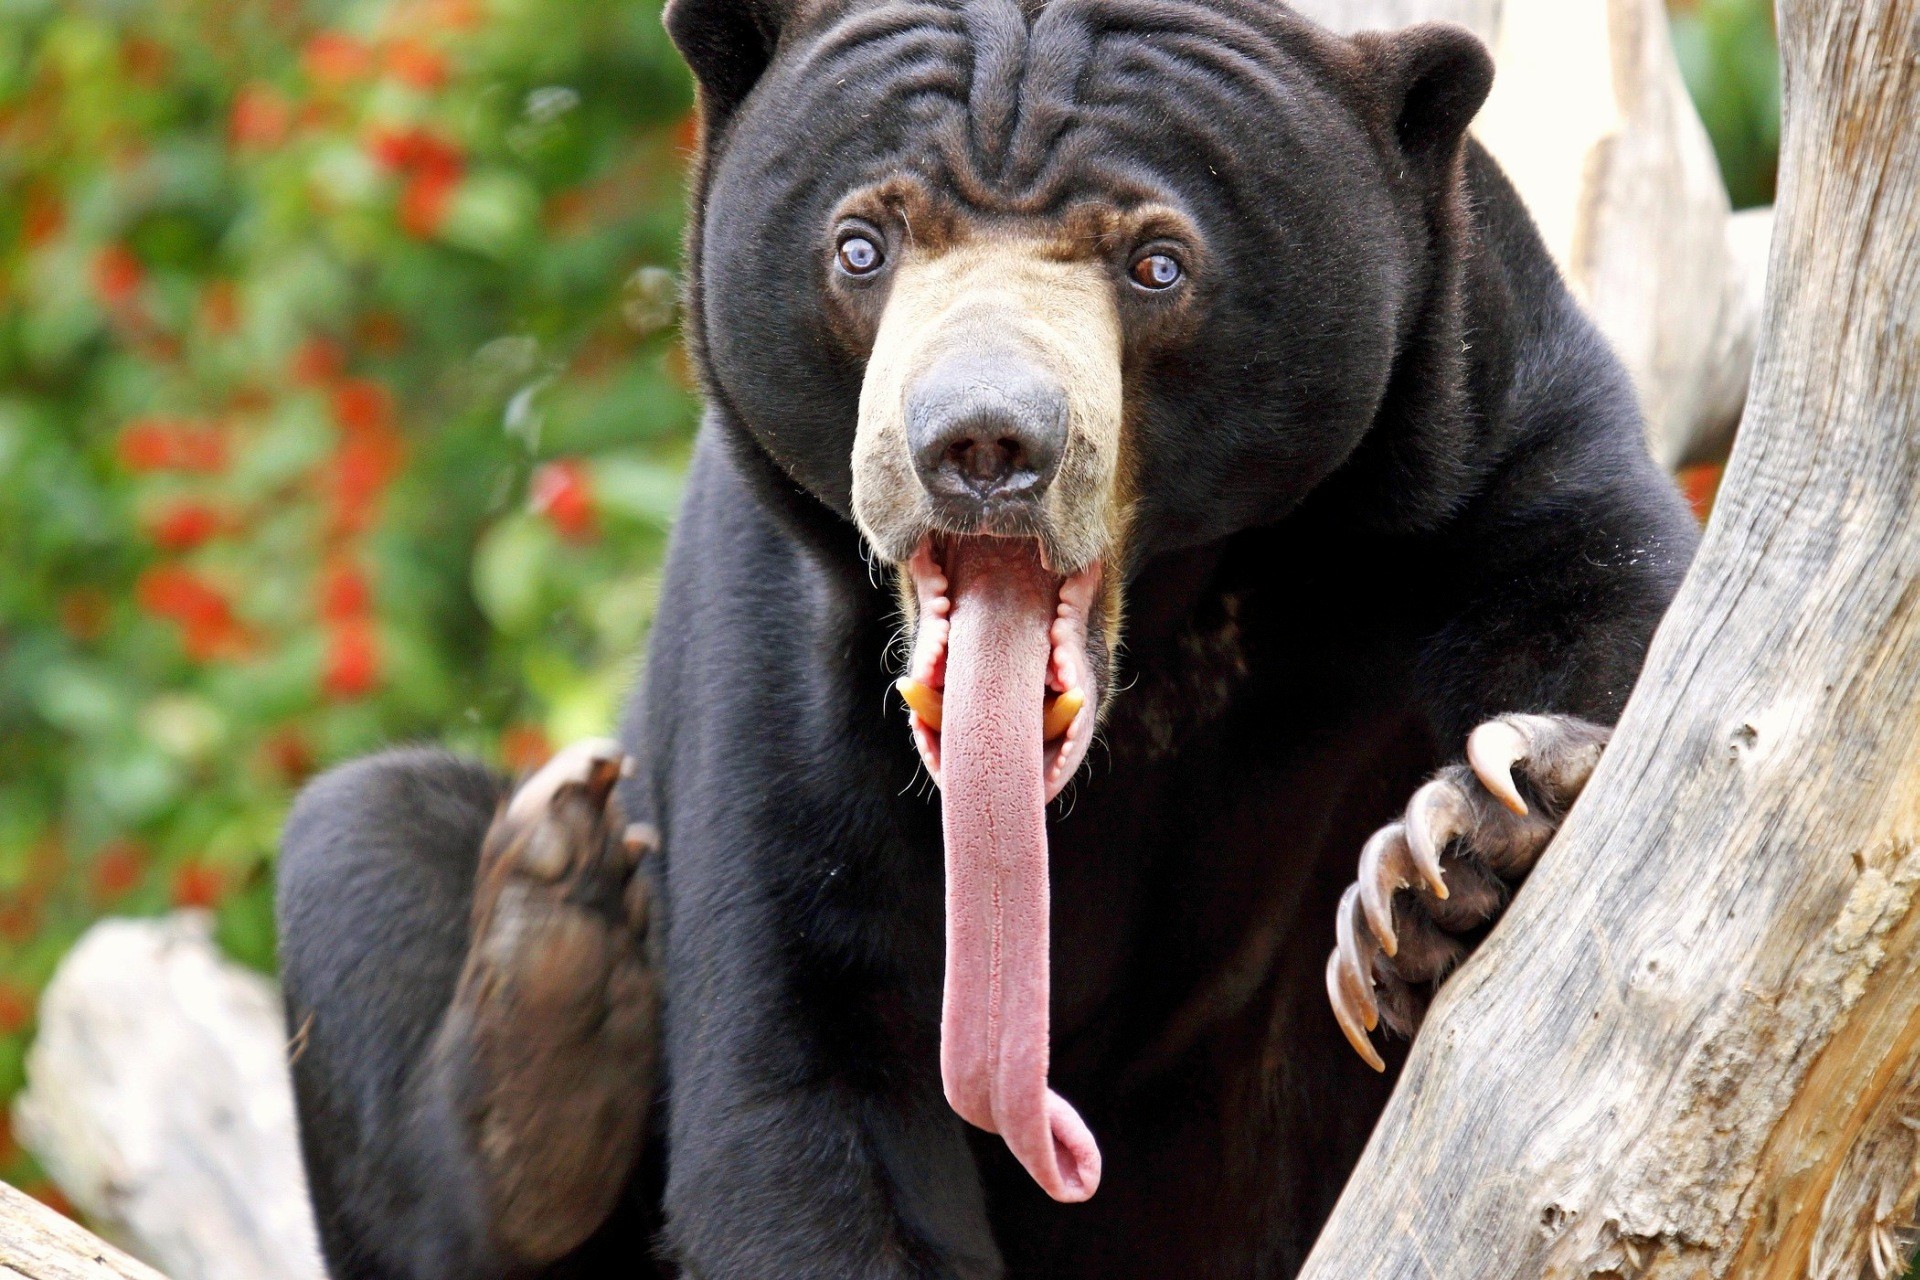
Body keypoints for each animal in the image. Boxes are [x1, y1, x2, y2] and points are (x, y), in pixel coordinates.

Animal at [273, 0, 1701, 1274]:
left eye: (1156, 263)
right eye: (863, 245)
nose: (980, 445)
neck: (1170, 624)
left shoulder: (1482, 419)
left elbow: (1608, 611)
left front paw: (1457, 848)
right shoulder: (776, 632)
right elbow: (801, 1059)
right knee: (366, 834)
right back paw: (551, 972)